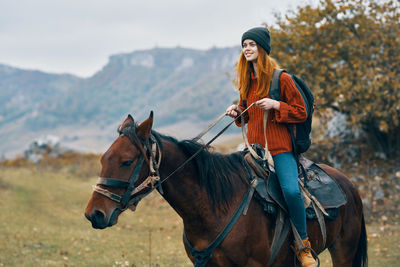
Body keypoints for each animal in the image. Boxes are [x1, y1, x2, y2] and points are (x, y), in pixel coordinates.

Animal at [85, 112, 368, 266]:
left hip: (343, 252)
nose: (94, 214)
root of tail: (348, 184)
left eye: (126, 161)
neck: (213, 208)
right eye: (103, 159)